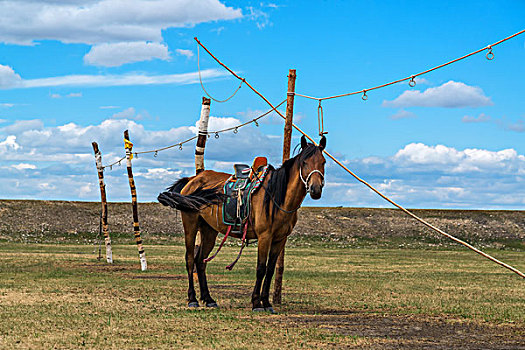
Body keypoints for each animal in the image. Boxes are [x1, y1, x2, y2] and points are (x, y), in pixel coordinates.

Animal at [158, 135, 326, 312]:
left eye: (323, 162)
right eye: (304, 162)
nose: (315, 189)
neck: (277, 197)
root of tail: (192, 180)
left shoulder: (280, 240)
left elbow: (270, 270)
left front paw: (267, 303)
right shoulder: (265, 237)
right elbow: (261, 269)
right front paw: (256, 303)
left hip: (209, 230)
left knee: (200, 261)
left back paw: (208, 299)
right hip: (190, 225)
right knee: (190, 259)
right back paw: (192, 299)